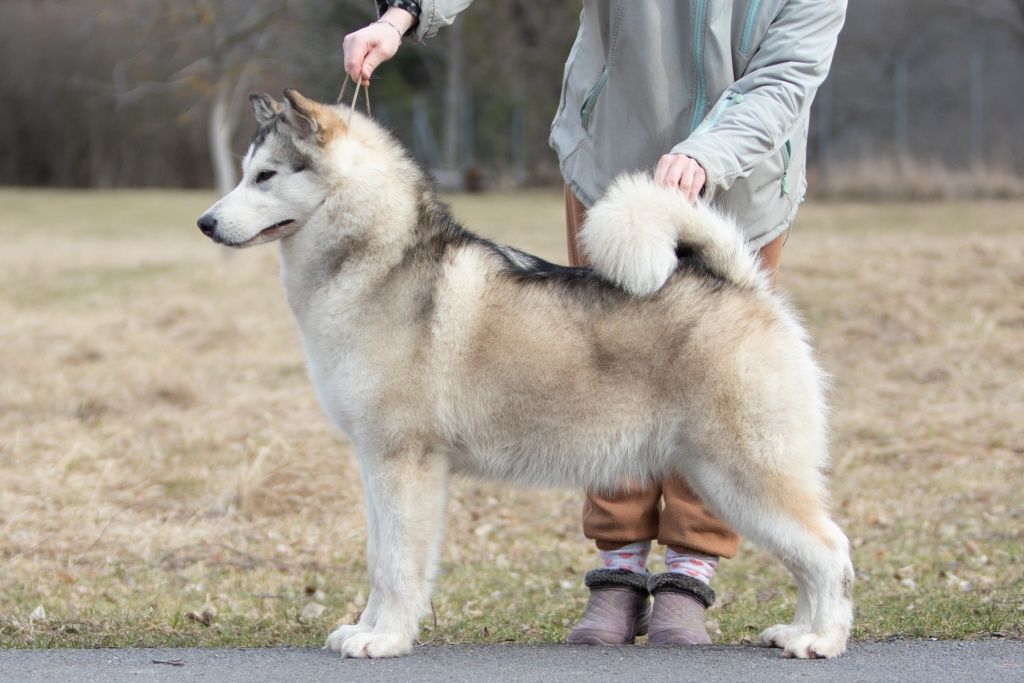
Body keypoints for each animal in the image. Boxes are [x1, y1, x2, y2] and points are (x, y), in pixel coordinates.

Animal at [195, 93, 851, 659]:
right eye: (245, 172)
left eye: (265, 176)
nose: (204, 223)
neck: (378, 261)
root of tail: (740, 284)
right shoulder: (376, 464)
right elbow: (380, 560)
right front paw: (366, 628)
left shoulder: (404, 463)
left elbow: (399, 565)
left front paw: (385, 639)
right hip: (725, 480)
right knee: (812, 559)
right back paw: (797, 631)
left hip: (743, 477)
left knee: (829, 552)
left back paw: (821, 640)